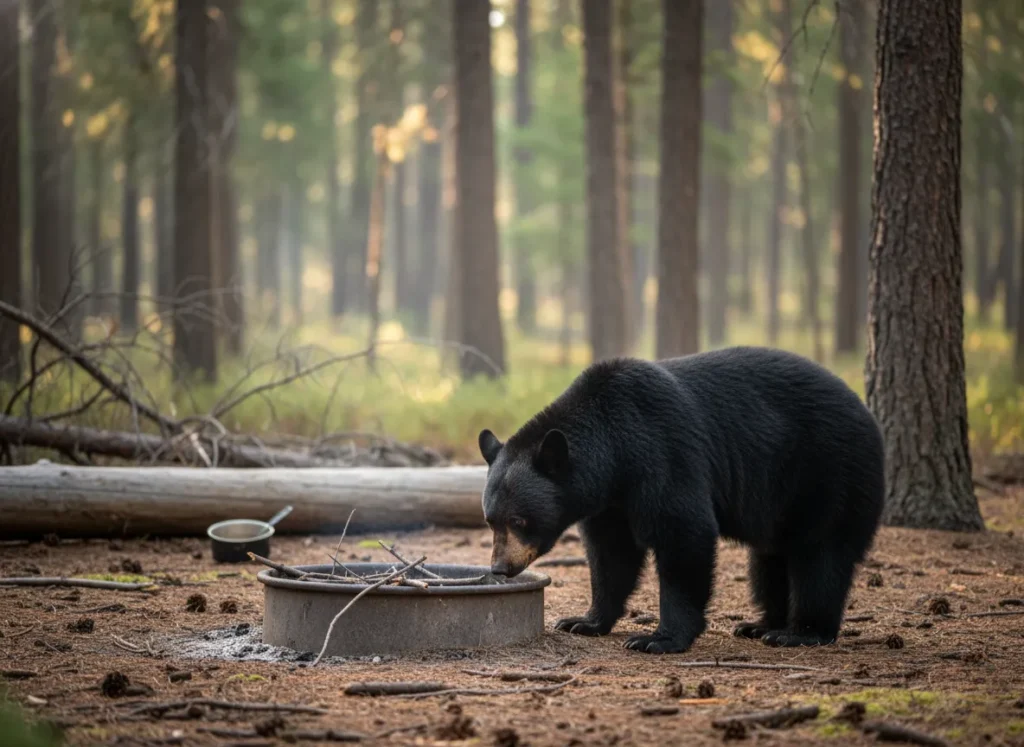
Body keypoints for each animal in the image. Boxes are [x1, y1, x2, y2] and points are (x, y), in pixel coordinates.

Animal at [478, 346, 885, 654]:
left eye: (519, 520)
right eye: (490, 519)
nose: (500, 567)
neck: (613, 449)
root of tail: (868, 416)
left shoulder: (662, 450)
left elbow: (683, 532)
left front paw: (658, 638)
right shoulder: (611, 499)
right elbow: (611, 553)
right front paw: (584, 620)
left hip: (828, 471)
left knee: (819, 554)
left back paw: (799, 632)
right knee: (769, 559)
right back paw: (760, 624)